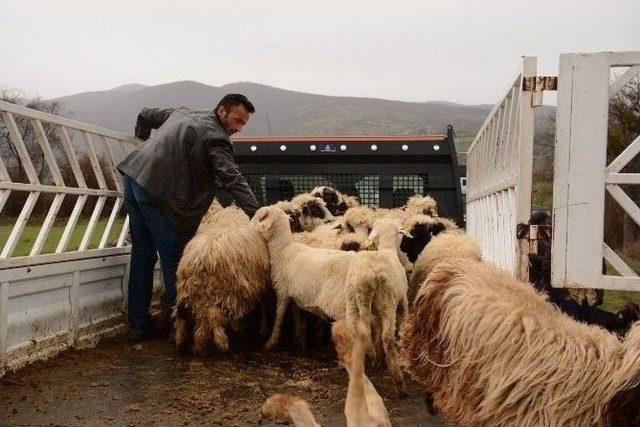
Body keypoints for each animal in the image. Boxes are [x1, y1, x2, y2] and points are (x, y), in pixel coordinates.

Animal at [171, 207, 268, 354]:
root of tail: (200, 260)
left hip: (192, 293)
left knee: (185, 316)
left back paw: (189, 344)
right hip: (224, 292)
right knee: (214, 317)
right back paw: (222, 343)